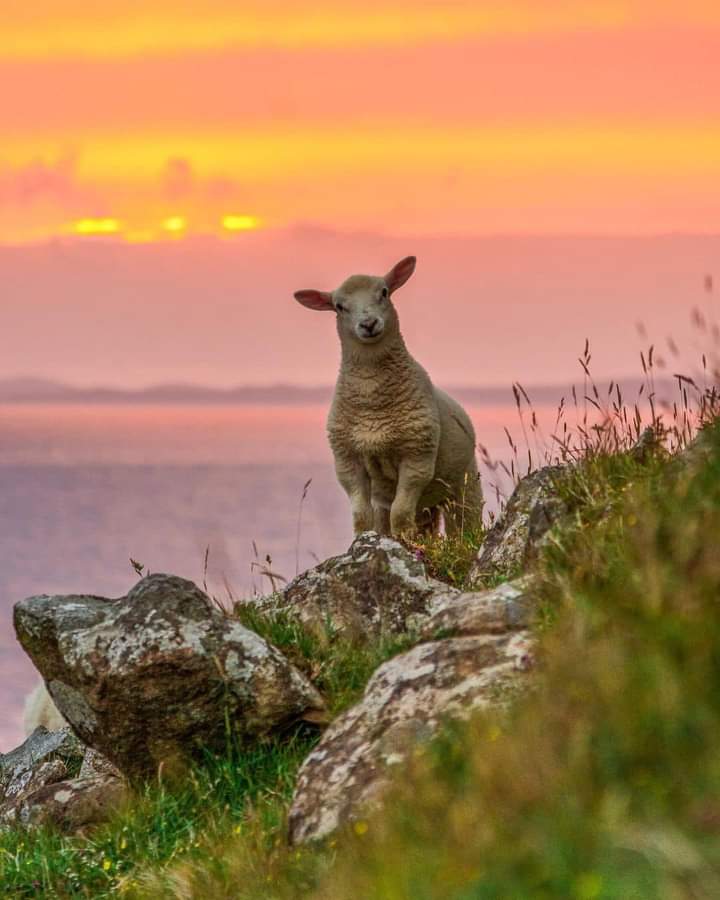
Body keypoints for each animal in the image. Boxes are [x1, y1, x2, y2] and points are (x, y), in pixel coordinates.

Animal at [296, 255, 480, 536]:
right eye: (339, 306)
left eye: (383, 292)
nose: (368, 324)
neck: (372, 399)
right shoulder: (347, 460)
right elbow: (362, 517)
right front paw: (365, 539)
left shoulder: (418, 456)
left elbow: (401, 514)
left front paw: (404, 540)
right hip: (420, 504)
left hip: (464, 485)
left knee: (464, 525)